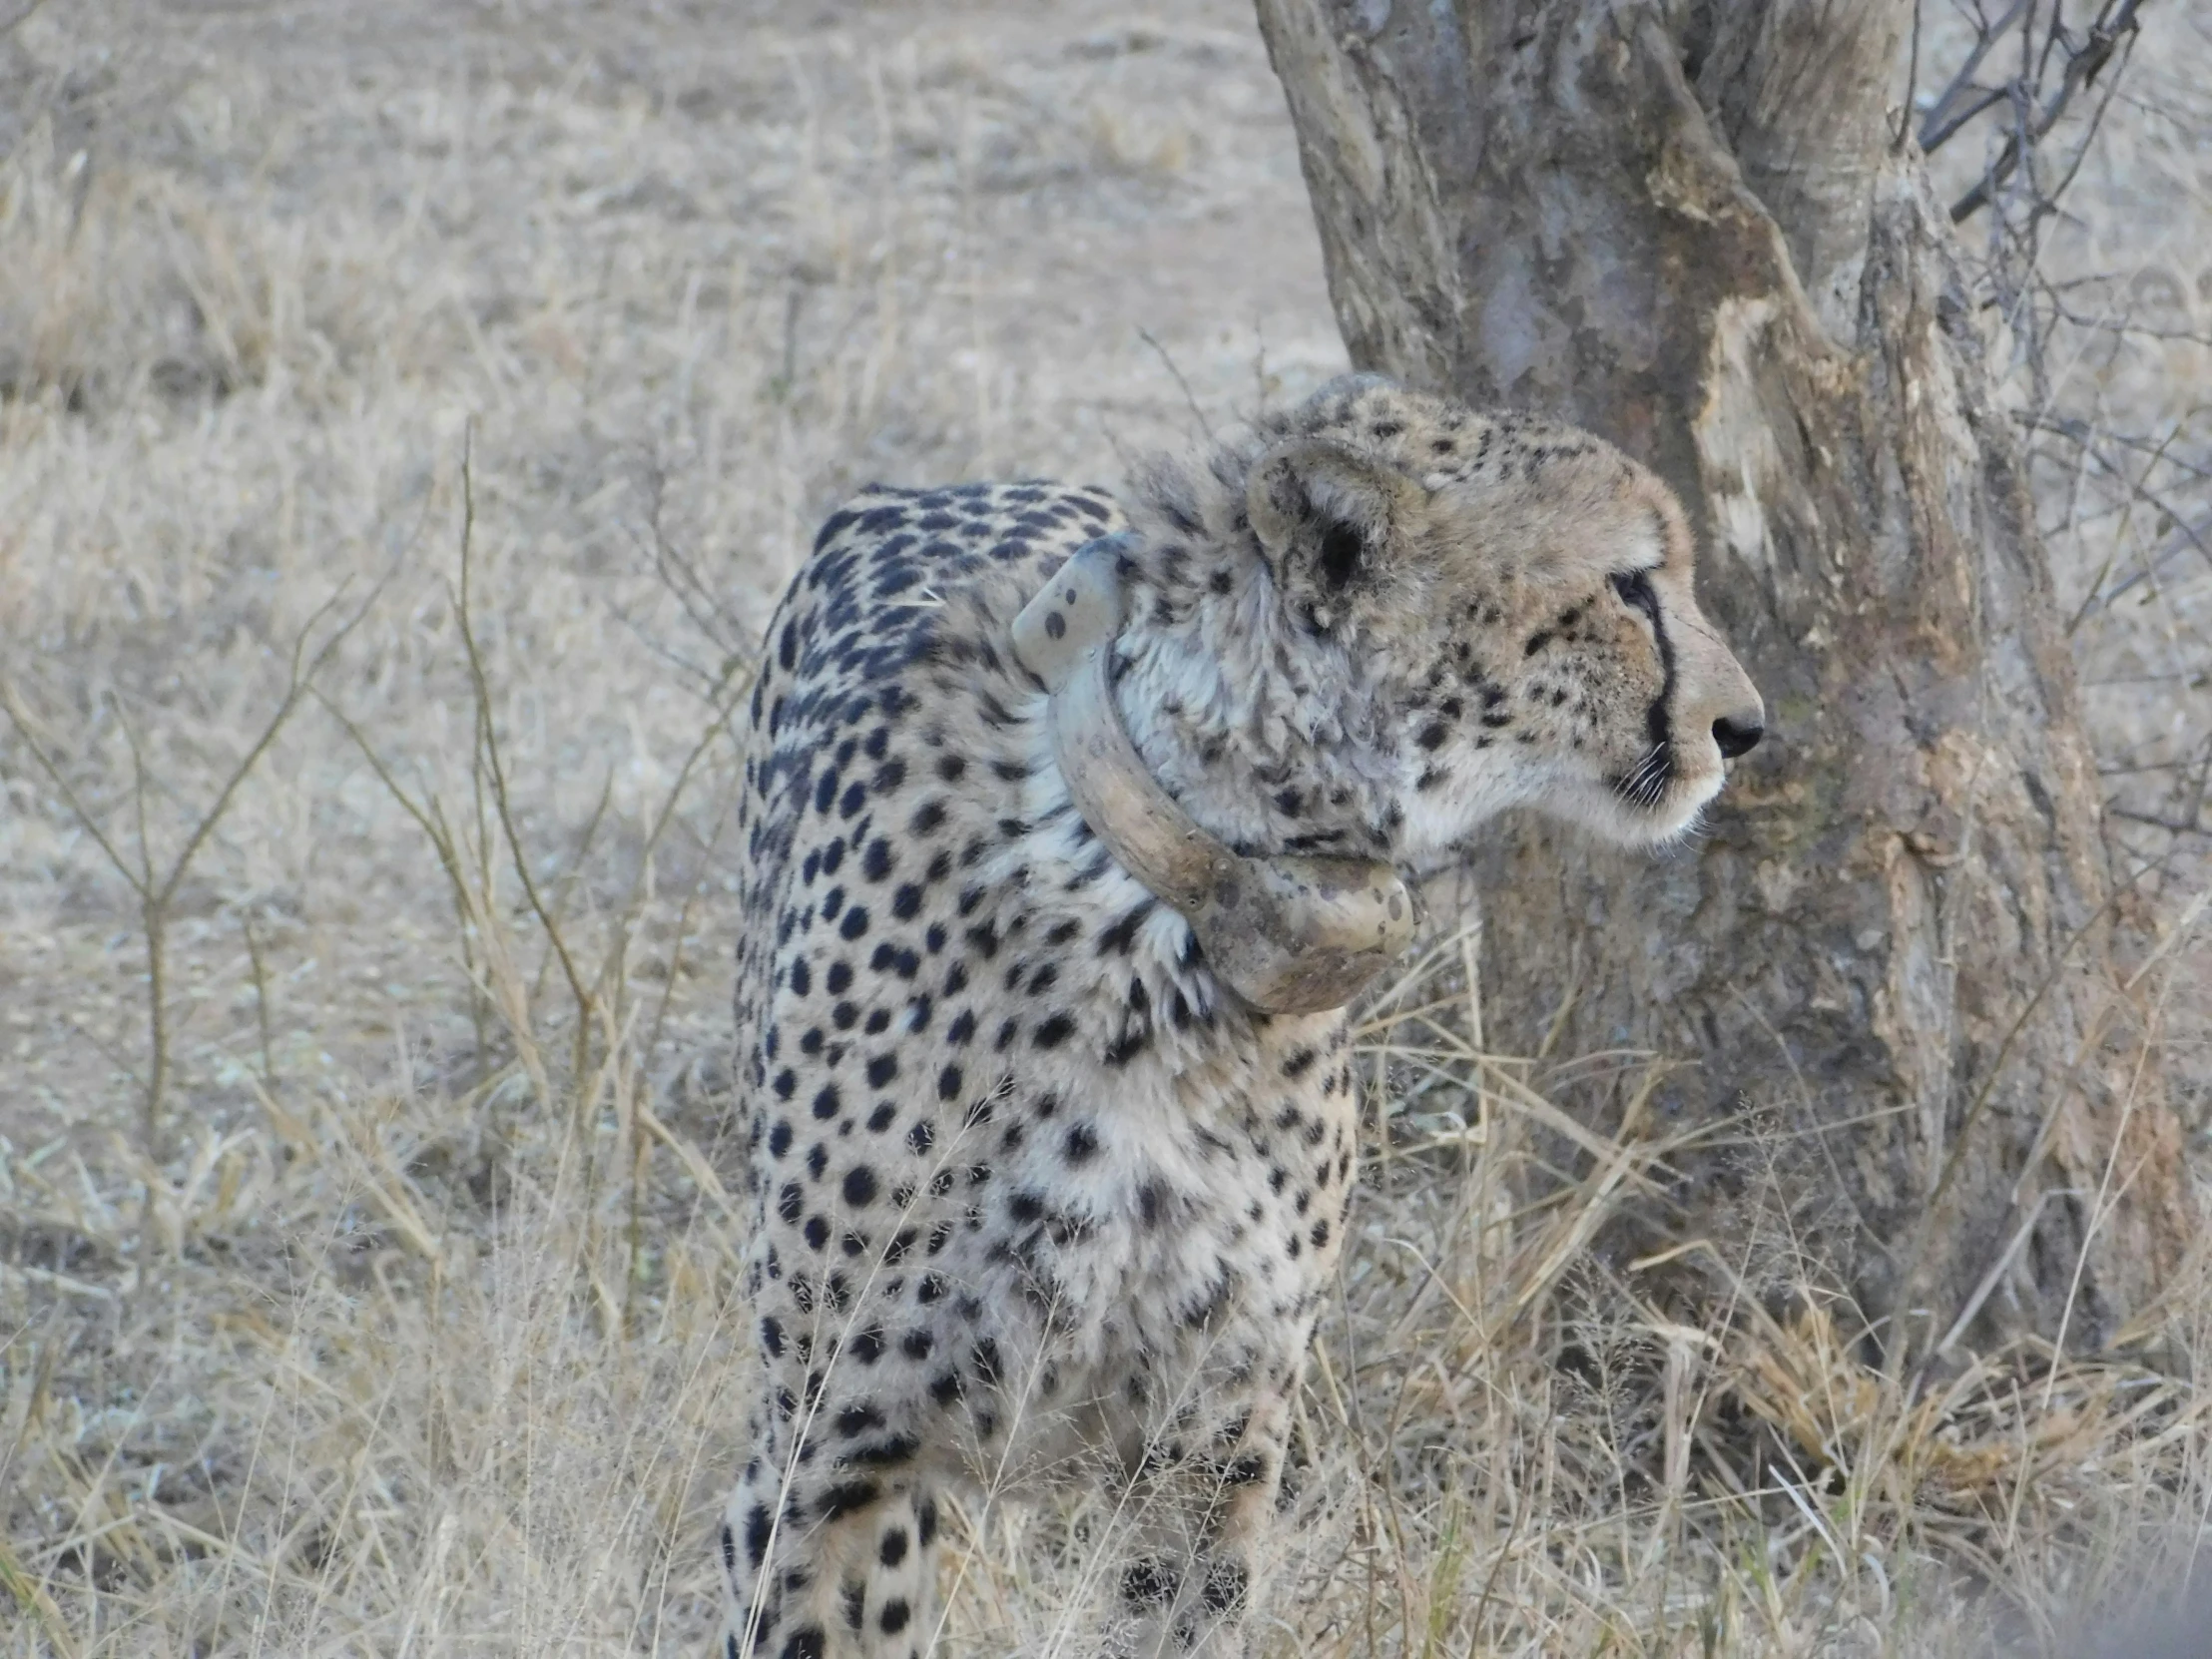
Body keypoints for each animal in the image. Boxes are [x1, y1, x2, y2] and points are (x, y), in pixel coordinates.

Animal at [721, 375, 1760, 1659]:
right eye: (1626, 583)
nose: (1744, 726)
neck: (1175, 904)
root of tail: (940, 483)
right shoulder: (830, 1451)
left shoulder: (1208, 1445)